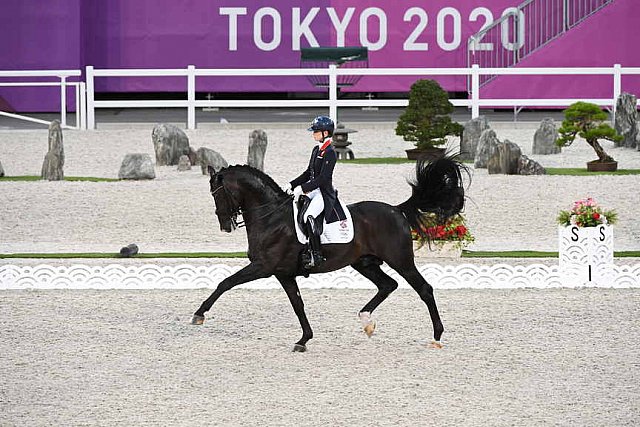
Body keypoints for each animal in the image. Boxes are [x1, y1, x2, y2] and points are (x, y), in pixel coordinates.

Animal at [190, 155, 464, 352]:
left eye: (218, 194)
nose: (225, 226)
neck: (271, 217)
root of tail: (396, 210)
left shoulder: (263, 267)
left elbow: (226, 282)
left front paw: (199, 314)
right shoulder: (283, 274)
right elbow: (298, 305)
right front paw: (304, 340)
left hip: (401, 261)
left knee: (424, 289)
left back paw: (436, 337)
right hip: (364, 263)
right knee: (388, 285)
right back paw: (367, 322)